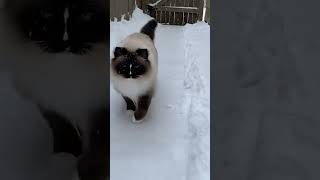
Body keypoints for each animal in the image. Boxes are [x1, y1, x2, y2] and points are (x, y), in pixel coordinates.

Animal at [0, 0, 109, 179]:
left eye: (85, 15)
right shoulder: (47, 99)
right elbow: (62, 129)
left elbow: (99, 150)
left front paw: (86, 173)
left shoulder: (100, 105)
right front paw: (65, 157)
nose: (65, 42)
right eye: (47, 13)